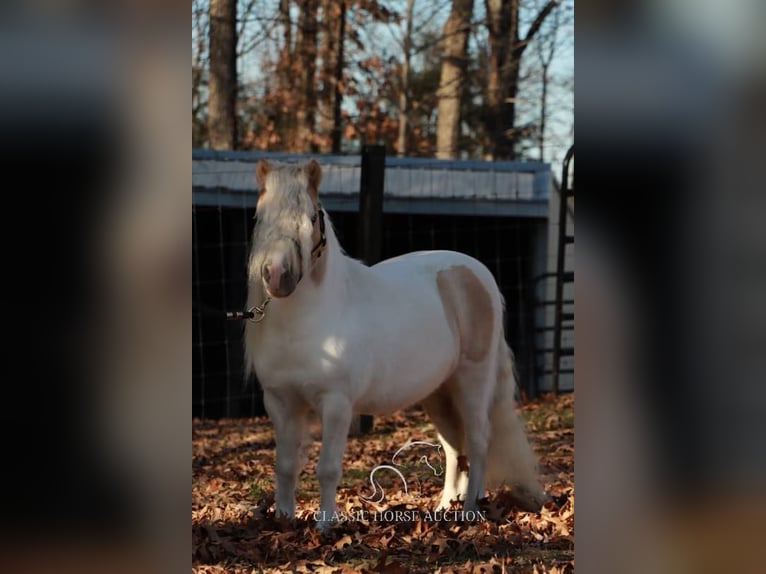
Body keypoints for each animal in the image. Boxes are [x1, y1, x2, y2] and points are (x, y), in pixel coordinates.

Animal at [246, 160, 544, 528]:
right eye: (259, 217)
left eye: (311, 218)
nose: (276, 275)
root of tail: (474, 273)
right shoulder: (280, 403)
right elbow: (285, 466)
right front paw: (284, 520)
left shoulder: (337, 404)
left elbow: (327, 468)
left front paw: (326, 525)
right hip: (438, 393)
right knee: (454, 447)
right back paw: (445, 507)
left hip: (472, 383)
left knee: (477, 441)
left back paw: (470, 510)